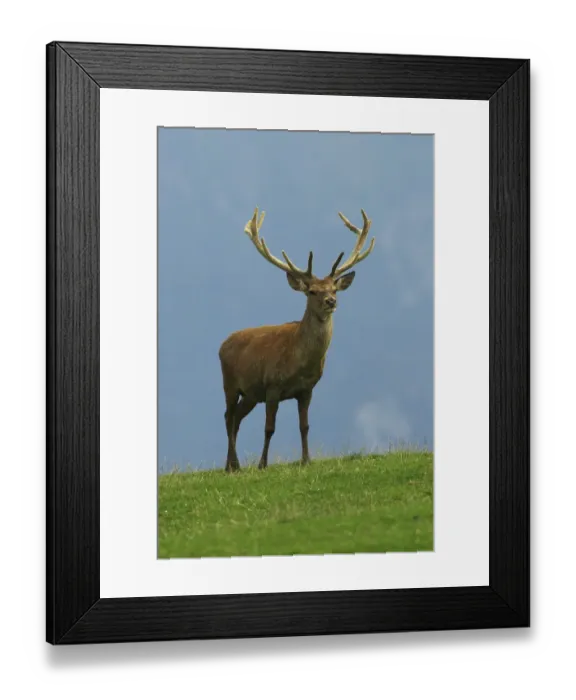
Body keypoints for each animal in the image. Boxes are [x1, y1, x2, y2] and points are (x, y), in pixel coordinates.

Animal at [218, 207, 376, 473]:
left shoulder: (307, 390)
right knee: (228, 416)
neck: (299, 363)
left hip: (251, 394)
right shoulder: (272, 385)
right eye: (312, 291)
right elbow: (269, 428)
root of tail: (222, 344)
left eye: (334, 288)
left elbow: (304, 426)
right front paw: (262, 464)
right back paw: (233, 465)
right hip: (230, 384)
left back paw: (232, 465)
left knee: (235, 418)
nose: (331, 301)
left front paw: (306, 460)